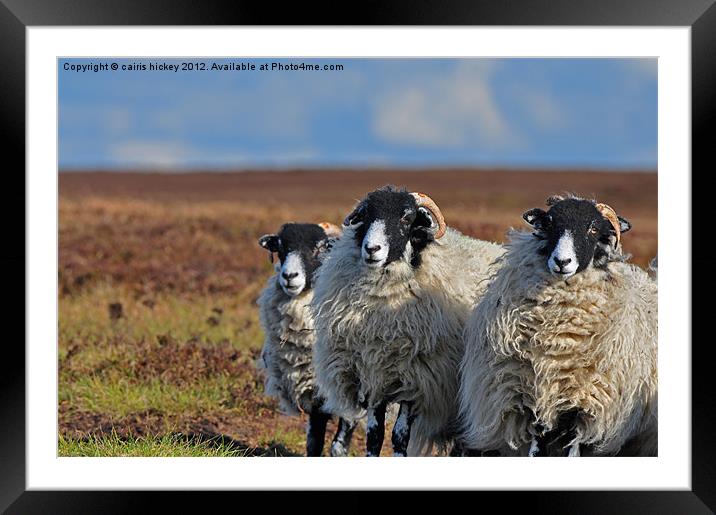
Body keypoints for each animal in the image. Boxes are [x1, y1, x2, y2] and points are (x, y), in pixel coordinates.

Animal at [256, 221, 358, 456]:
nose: (289, 276)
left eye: (320, 248)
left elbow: (339, 444)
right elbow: (314, 441)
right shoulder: (314, 391)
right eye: (281, 248)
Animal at [312, 185, 504, 456]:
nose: (371, 249)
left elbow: (400, 436)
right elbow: (374, 435)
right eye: (366, 215)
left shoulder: (417, 381)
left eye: (406, 217)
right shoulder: (375, 377)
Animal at [458, 196, 656, 458]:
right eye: (550, 224)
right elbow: (537, 448)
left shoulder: (581, 402)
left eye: (594, 228)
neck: (557, 340)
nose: (562, 262)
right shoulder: (533, 399)